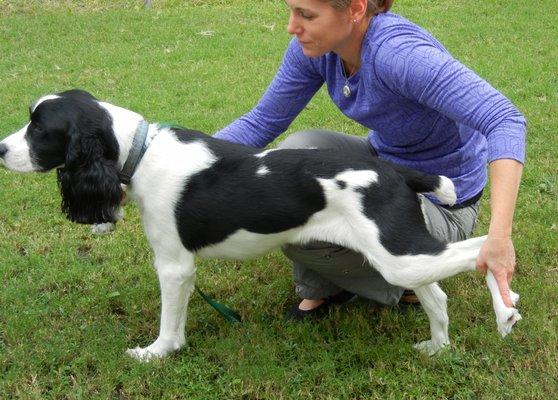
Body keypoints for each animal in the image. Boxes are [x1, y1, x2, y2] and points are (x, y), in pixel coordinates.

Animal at [0, 90, 524, 360]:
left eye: (39, 128)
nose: (2, 149)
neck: (140, 153)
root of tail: (395, 172)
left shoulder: (174, 265)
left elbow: (170, 324)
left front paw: (156, 352)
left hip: (396, 252)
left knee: (483, 249)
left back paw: (505, 310)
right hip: (399, 253)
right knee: (437, 294)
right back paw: (437, 346)